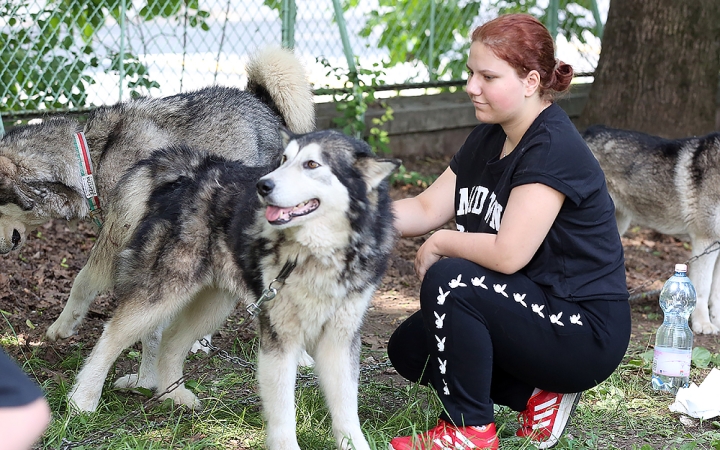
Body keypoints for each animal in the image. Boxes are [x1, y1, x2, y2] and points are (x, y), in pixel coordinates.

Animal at [69, 127, 400, 450]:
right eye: (284, 159)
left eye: (311, 164)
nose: (263, 186)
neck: (317, 252)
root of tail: (192, 170)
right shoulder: (278, 339)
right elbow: (284, 414)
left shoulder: (340, 340)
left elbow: (346, 412)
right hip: (160, 297)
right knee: (110, 338)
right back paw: (81, 401)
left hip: (213, 306)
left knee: (171, 341)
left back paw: (174, 396)